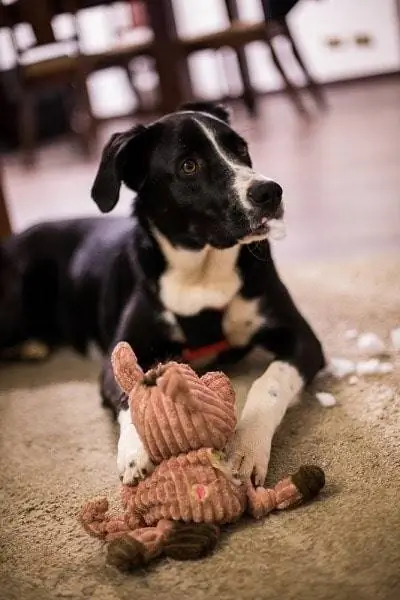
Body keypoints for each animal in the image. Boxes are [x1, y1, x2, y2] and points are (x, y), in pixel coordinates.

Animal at [0, 102, 324, 488]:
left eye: (241, 149)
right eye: (188, 166)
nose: (270, 192)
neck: (201, 271)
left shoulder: (302, 338)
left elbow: (271, 381)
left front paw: (246, 446)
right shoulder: (119, 355)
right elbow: (132, 388)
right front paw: (134, 452)